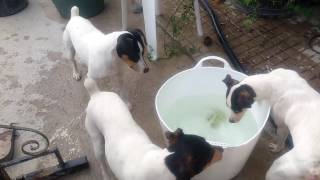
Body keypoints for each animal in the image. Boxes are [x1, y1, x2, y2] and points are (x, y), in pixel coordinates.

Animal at [84, 77, 224, 180]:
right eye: (210, 154)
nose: (222, 149)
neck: (165, 164)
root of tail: (96, 94)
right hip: (97, 143)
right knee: (102, 162)